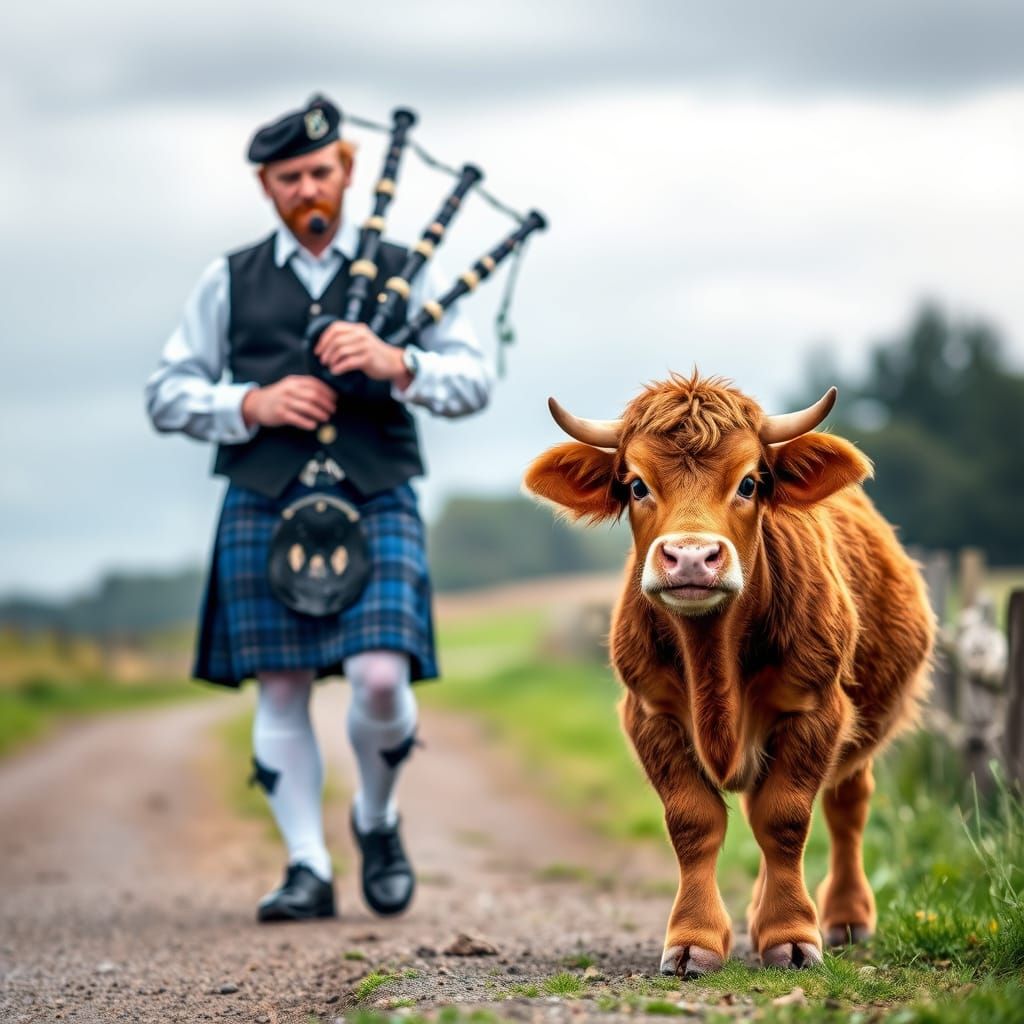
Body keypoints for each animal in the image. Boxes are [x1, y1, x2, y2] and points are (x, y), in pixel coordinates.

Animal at [523, 373, 933, 977]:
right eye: (637, 485)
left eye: (749, 483)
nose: (692, 557)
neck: (712, 661)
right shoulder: (649, 712)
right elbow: (694, 822)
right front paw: (695, 939)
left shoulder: (815, 708)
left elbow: (785, 818)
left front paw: (791, 936)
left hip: (863, 730)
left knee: (845, 805)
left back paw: (843, 917)